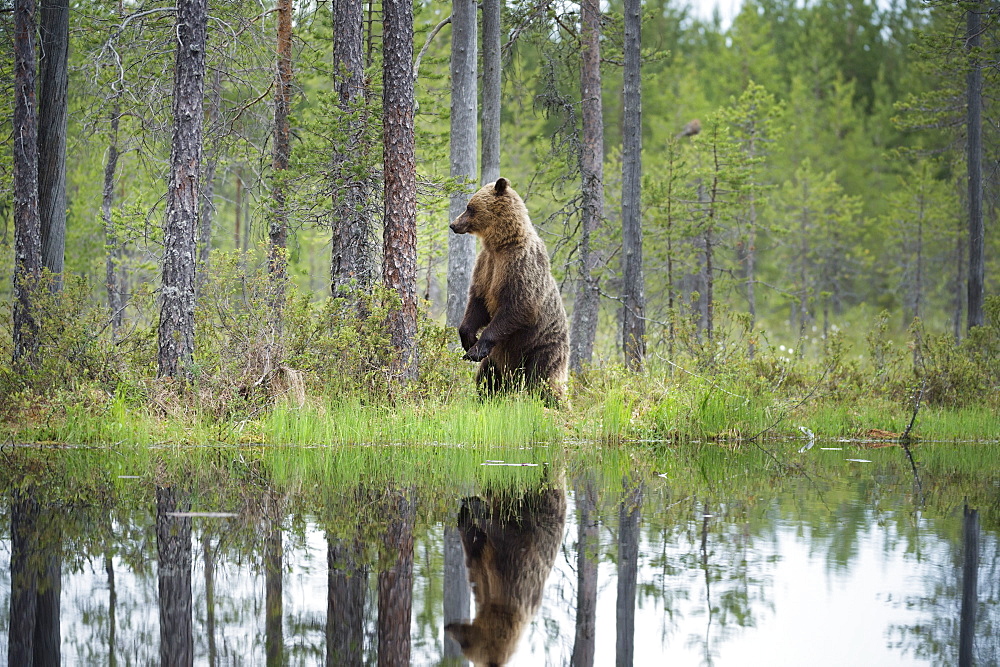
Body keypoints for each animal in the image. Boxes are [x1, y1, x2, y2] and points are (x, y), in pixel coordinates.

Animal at [448, 472, 572, 664]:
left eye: (465, 646)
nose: (449, 629)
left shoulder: (522, 548)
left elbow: (503, 530)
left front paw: (476, 505)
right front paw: (470, 505)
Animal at [454, 179, 572, 408]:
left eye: (469, 207)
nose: (453, 225)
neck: (501, 243)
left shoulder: (519, 266)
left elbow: (518, 307)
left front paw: (476, 349)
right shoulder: (486, 266)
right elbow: (477, 303)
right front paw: (468, 339)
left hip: (542, 347)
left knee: (543, 381)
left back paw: (559, 406)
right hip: (500, 360)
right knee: (489, 377)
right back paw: (487, 399)